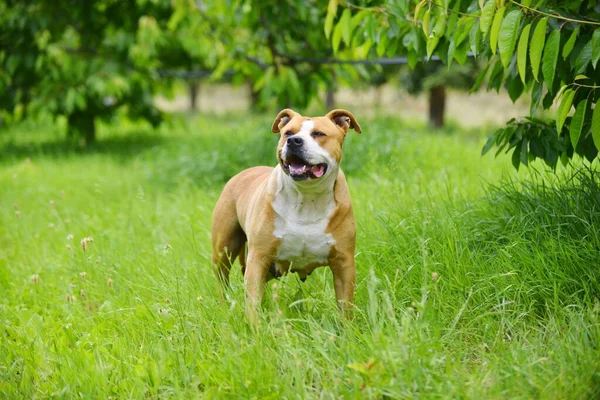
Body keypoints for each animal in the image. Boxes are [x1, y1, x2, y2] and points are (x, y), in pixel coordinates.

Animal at [211, 108, 360, 320]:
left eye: (318, 134)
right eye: (288, 133)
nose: (294, 141)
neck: (307, 198)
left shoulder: (343, 263)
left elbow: (345, 306)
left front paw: (347, 328)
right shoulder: (258, 258)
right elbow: (252, 302)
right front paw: (254, 326)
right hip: (224, 248)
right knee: (222, 281)